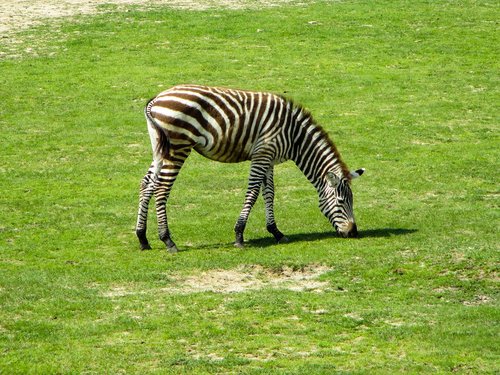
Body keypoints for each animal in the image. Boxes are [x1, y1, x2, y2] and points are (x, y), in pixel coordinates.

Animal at [137, 86, 364, 253]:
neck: (295, 136)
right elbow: (253, 193)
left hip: (160, 147)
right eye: (341, 202)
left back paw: (142, 238)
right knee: (162, 189)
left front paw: (276, 232)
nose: (353, 233)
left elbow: (269, 193)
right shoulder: (262, 154)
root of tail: (156, 100)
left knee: (147, 184)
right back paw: (168, 240)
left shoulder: (269, 159)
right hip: (178, 147)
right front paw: (239, 235)